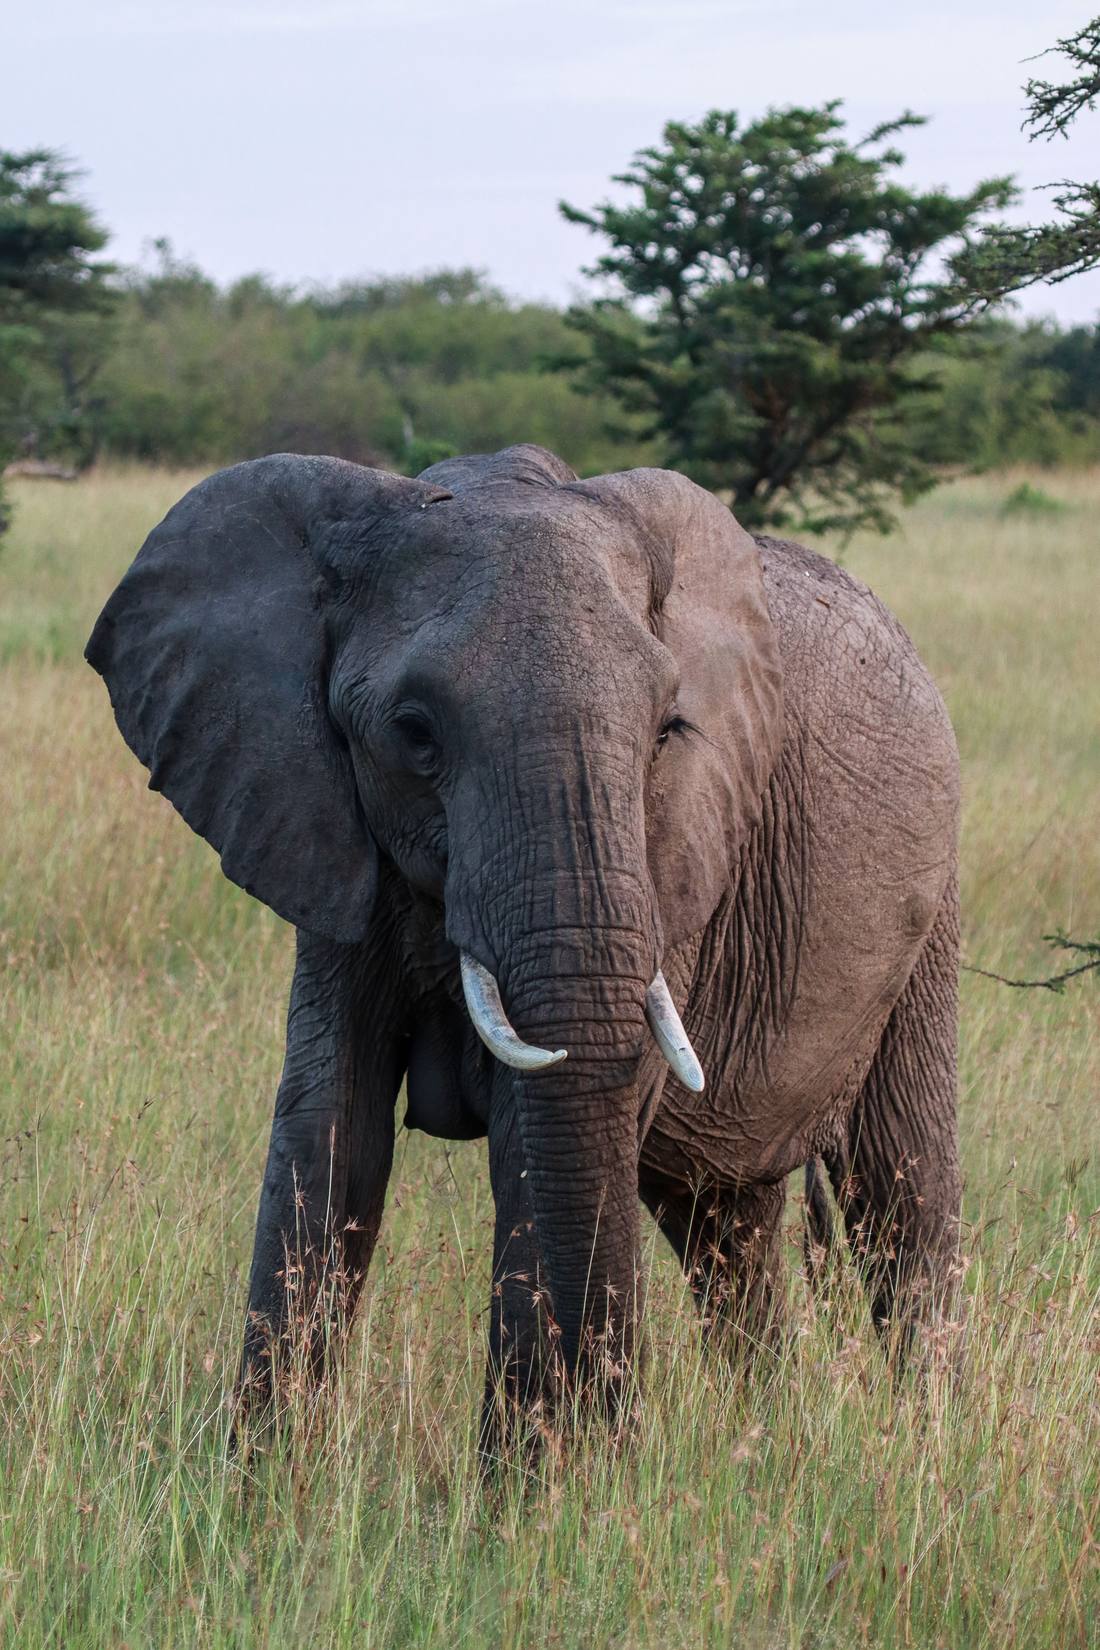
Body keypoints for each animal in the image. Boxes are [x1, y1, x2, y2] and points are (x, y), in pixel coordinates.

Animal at [86, 443, 961, 1451]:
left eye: (668, 730)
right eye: (413, 732)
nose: (611, 1431)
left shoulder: (673, 857)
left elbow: (538, 1138)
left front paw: (544, 1490)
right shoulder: (324, 824)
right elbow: (328, 1128)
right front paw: (264, 1481)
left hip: (932, 909)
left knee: (900, 1200)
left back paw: (930, 1440)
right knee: (723, 1225)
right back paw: (763, 1437)